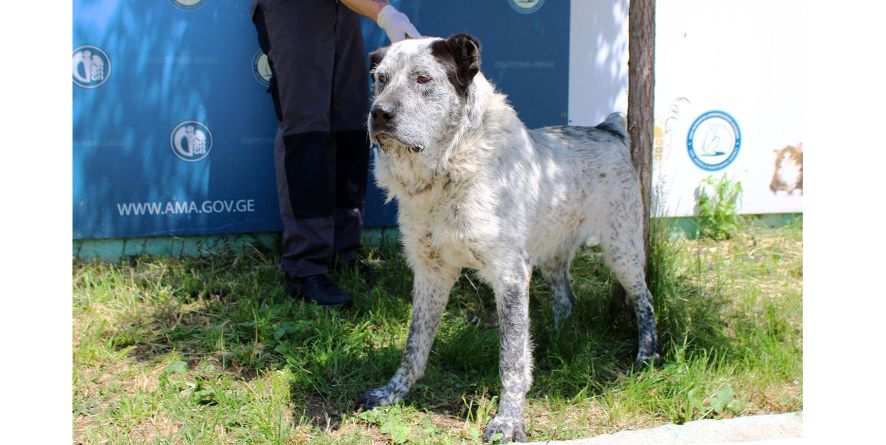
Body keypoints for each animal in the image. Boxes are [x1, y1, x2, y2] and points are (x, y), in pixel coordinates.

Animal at [360, 33, 660, 440]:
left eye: (423, 79)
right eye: (381, 79)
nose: (379, 113)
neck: (448, 172)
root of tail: (607, 130)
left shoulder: (510, 276)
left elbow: (511, 360)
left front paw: (509, 421)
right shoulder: (430, 271)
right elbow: (414, 345)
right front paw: (392, 393)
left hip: (622, 248)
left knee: (644, 300)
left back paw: (647, 355)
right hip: (553, 251)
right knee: (566, 299)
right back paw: (551, 341)